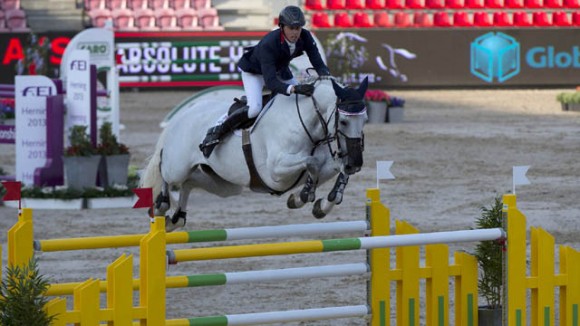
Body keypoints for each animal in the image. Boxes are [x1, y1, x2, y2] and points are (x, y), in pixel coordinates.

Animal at [142, 75, 368, 230]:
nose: (355, 163)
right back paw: (161, 207)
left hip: (225, 185)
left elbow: (335, 170)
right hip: (177, 166)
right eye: (344, 121)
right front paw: (303, 195)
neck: (309, 126)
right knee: (165, 172)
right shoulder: (275, 171)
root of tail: (182, 115)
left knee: (190, 182)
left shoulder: (326, 165)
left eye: (365, 120)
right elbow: (311, 162)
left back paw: (176, 219)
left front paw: (321, 204)